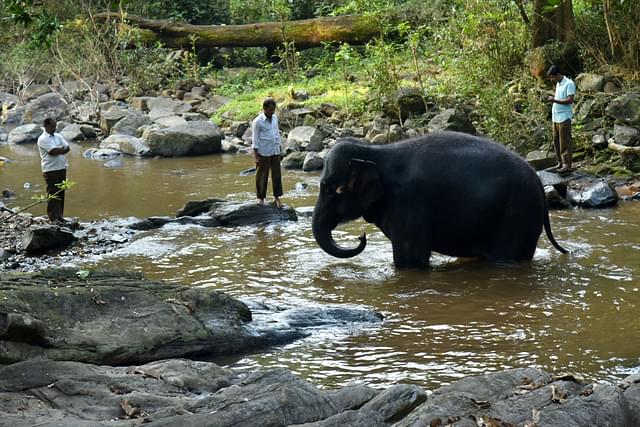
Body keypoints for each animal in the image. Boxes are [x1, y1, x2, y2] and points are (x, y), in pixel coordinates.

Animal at [312, 132, 568, 270]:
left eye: (334, 190)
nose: (361, 237)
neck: (376, 151)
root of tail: (538, 181)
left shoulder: (409, 202)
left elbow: (410, 259)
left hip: (517, 216)